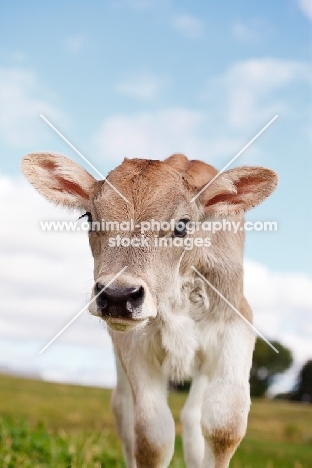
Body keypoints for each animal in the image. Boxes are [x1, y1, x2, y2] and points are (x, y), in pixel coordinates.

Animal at [21, 152, 278, 466]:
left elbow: (224, 426)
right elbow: (152, 438)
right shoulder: (133, 342)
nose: (117, 296)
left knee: (192, 417)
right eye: (89, 217)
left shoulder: (236, 322)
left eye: (182, 225)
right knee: (123, 410)